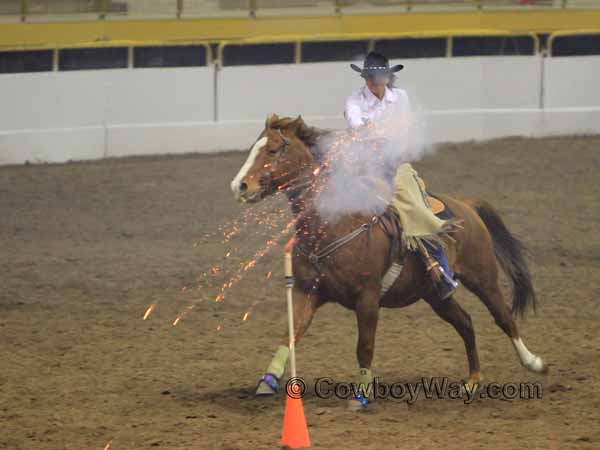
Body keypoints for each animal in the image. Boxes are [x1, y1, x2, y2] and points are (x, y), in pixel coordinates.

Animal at [229, 114, 544, 410]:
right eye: (253, 147)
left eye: (272, 150)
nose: (239, 185)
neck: (336, 222)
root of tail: (467, 205)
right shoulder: (306, 292)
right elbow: (290, 334)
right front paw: (268, 380)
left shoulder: (367, 297)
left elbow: (364, 346)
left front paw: (362, 394)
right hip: (435, 294)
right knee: (465, 322)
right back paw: (473, 380)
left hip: (483, 276)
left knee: (503, 317)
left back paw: (533, 362)